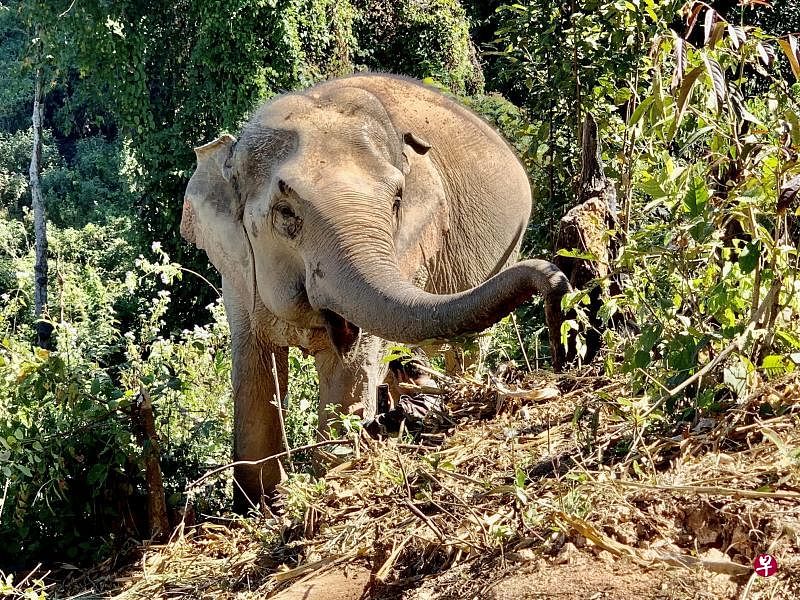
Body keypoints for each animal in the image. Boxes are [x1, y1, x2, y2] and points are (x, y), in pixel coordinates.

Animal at [180, 74, 569, 510]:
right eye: (285, 213)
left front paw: (329, 476)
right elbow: (254, 364)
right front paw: (260, 504)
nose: (557, 283)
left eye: (397, 200)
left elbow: (349, 368)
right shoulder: (237, 275)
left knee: (466, 349)